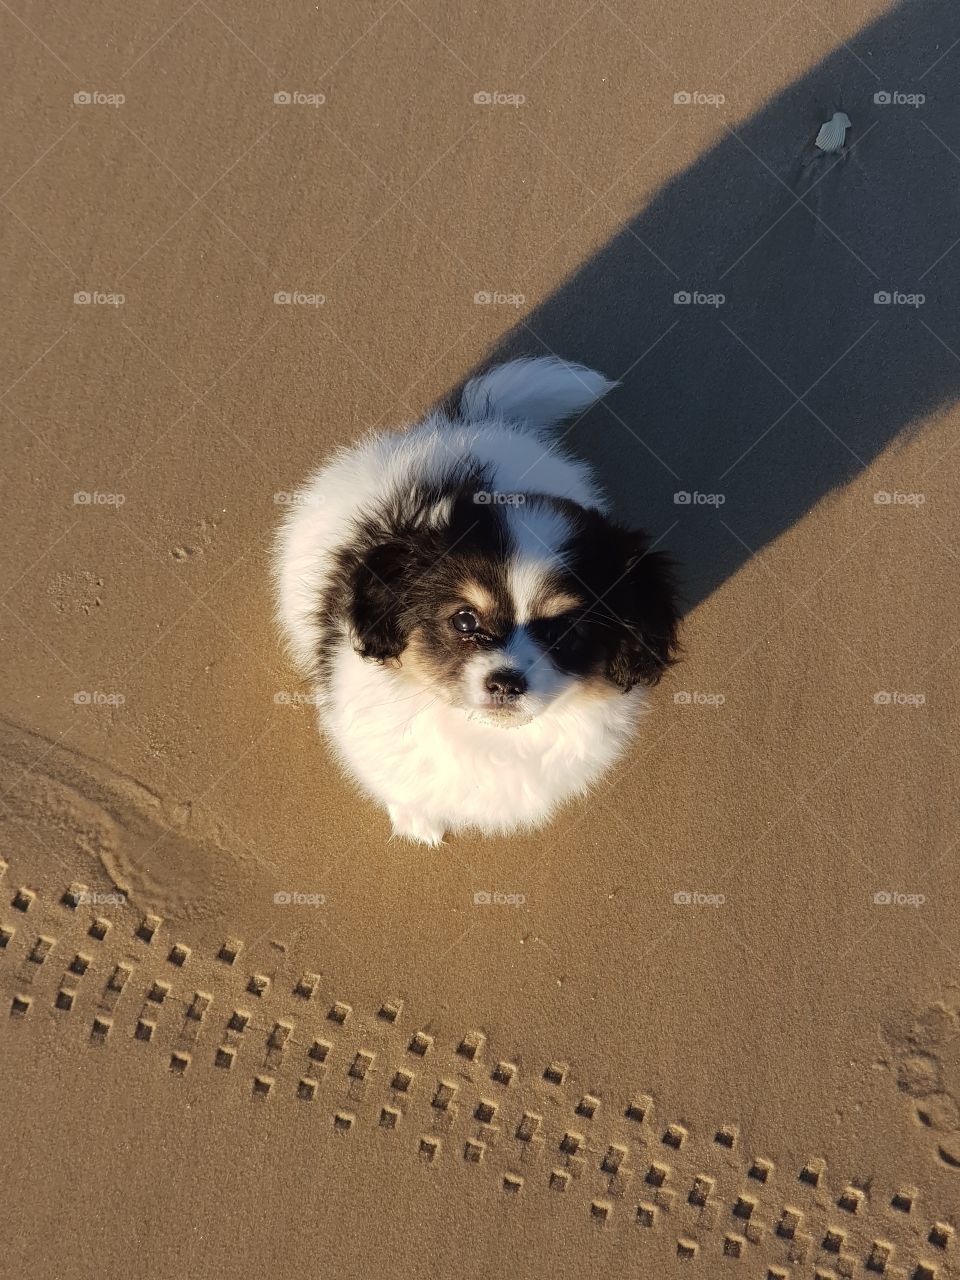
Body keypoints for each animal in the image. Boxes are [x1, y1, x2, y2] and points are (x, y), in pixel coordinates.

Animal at [273, 355, 686, 844]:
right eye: (465, 621)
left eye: (563, 631)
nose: (506, 683)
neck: (486, 734)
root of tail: (465, 427)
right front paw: (417, 820)